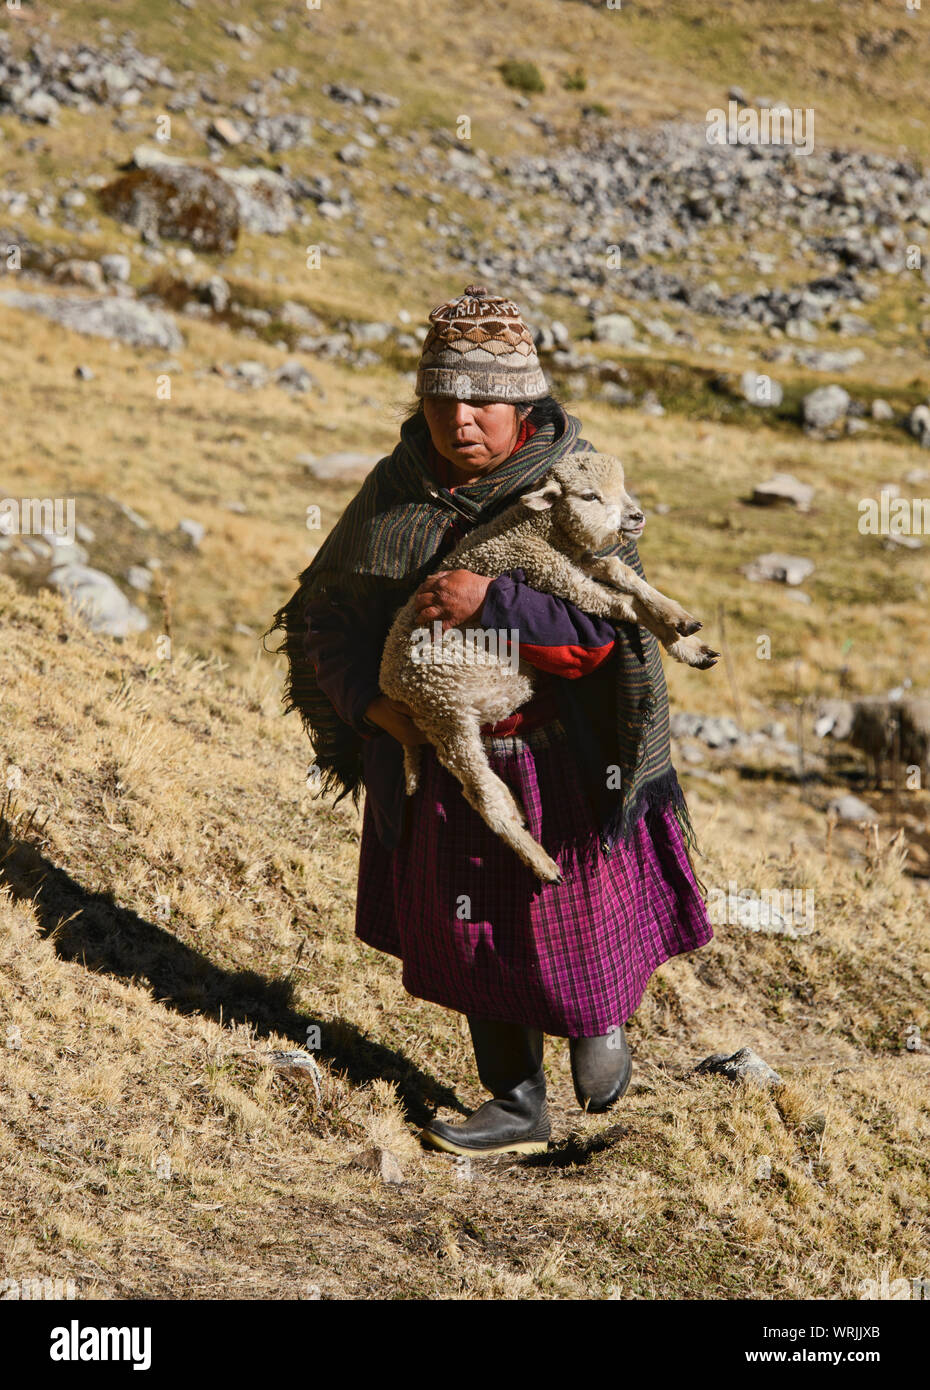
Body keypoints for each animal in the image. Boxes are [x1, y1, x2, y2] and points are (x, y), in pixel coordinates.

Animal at [378, 450, 717, 878]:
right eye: (589, 496)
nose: (636, 516)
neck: (538, 530)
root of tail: (389, 687)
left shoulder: (574, 563)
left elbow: (620, 572)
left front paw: (686, 634)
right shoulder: (551, 573)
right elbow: (623, 605)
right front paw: (675, 628)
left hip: (445, 718)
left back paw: (518, 811)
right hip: (446, 710)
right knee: (482, 797)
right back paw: (542, 863)